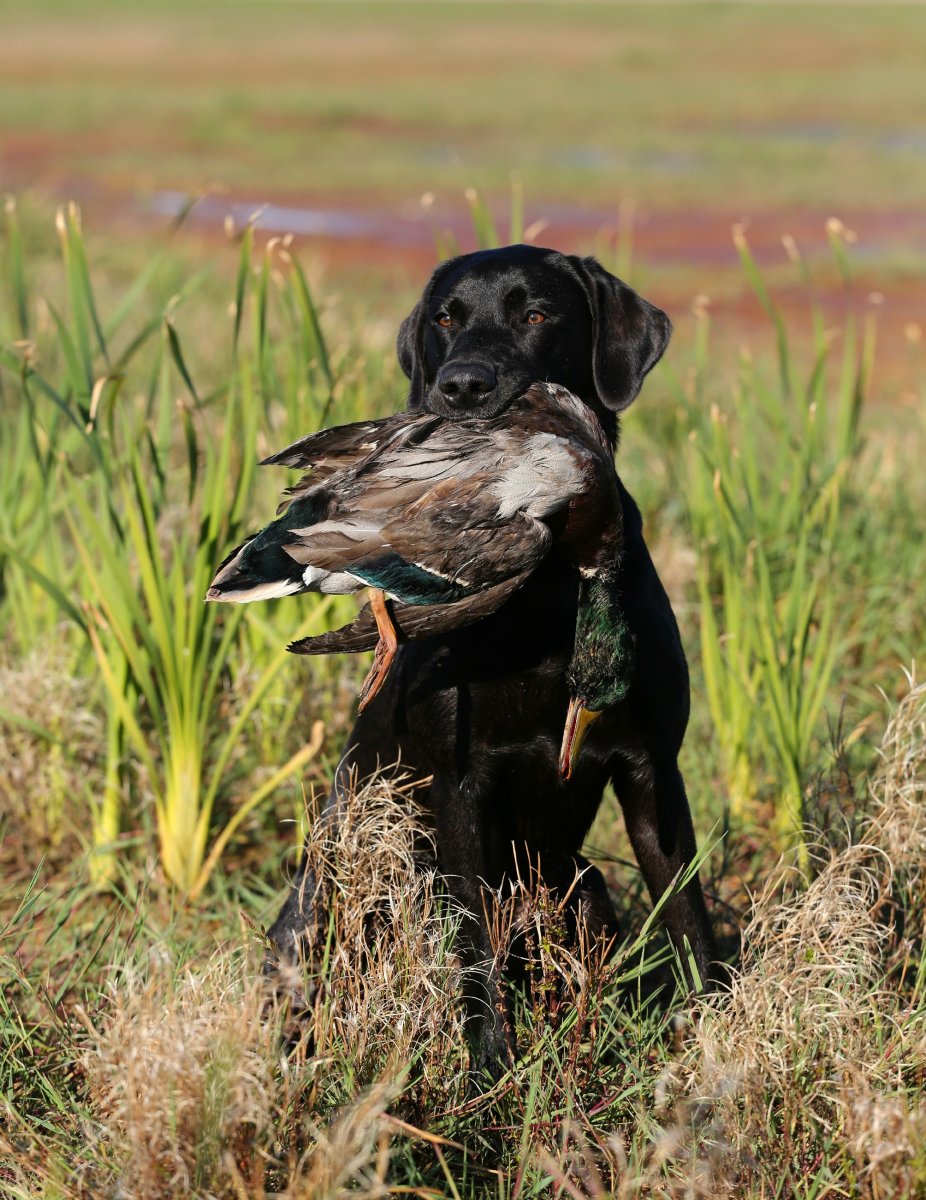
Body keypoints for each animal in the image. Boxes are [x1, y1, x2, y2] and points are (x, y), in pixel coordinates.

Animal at [267, 244, 720, 1079]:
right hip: (331, 896)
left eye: (536, 312)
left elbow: (689, 917)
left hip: (580, 885)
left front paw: (722, 1037)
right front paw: (490, 1070)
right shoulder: (460, 784)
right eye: (446, 318)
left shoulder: (654, 773)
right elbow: (474, 941)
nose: (462, 388)